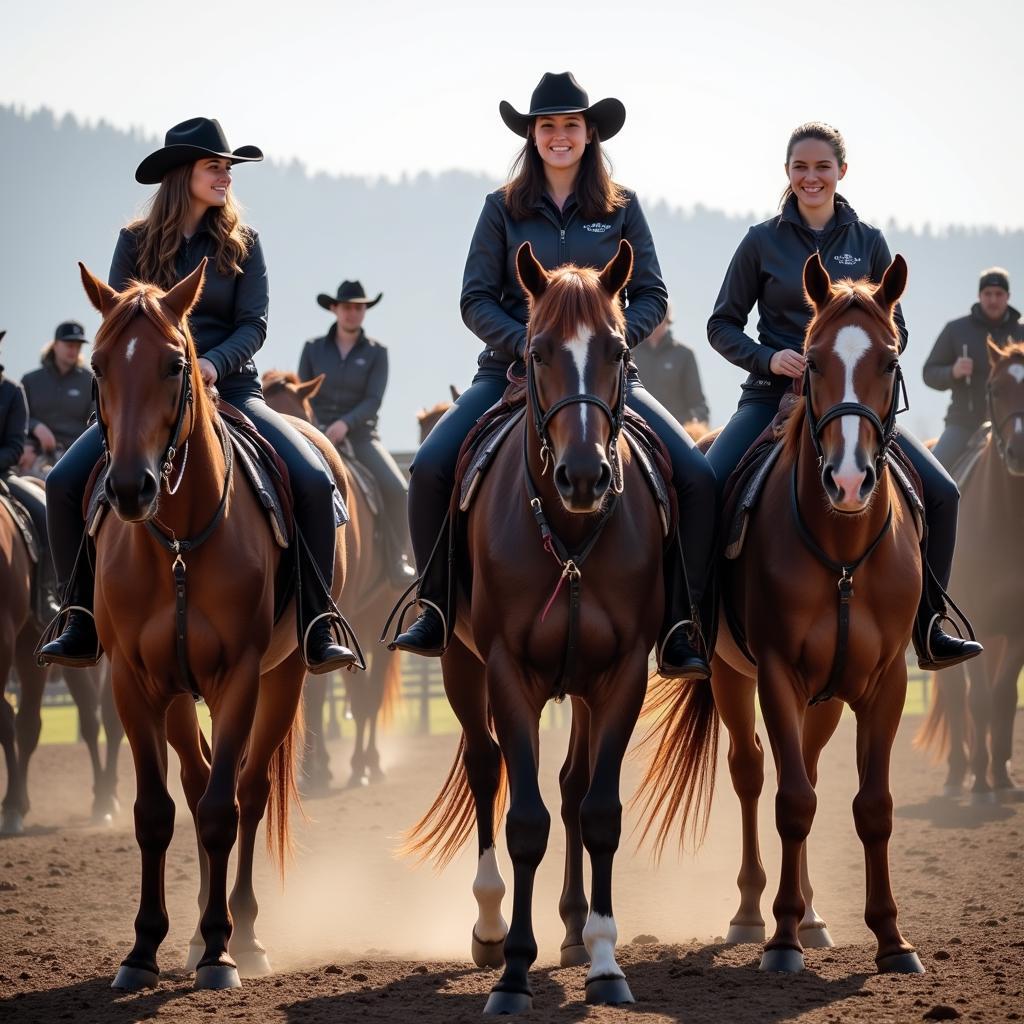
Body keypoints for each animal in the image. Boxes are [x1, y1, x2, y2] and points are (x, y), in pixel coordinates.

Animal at [76, 264, 352, 991]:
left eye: (175, 364)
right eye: (98, 364)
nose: (131, 488)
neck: (176, 542)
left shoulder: (239, 677)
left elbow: (225, 810)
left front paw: (223, 953)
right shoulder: (136, 683)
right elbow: (156, 813)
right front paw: (144, 949)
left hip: (285, 677)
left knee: (247, 794)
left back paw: (243, 933)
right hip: (177, 693)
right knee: (198, 784)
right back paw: (199, 926)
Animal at [262, 372, 401, 786]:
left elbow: (328, 689)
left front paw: (322, 767)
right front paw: (315, 765)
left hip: (376, 618)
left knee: (369, 695)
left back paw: (366, 763)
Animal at [403, 241, 675, 1015]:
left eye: (618, 348)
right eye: (535, 350)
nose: (584, 475)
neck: (572, 536)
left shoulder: (621, 675)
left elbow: (600, 810)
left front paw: (607, 963)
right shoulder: (507, 673)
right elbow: (524, 819)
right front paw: (514, 973)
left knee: (574, 786)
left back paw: (575, 932)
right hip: (461, 670)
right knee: (484, 768)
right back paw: (491, 928)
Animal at [634, 253, 925, 974]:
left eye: (889, 360)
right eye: (813, 361)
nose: (847, 480)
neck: (843, 551)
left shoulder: (885, 683)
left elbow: (871, 805)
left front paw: (892, 940)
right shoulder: (776, 674)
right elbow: (790, 802)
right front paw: (782, 938)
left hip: (826, 697)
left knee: (812, 772)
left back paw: (816, 916)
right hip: (734, 681)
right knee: (752, 773)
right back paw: (750, 913)